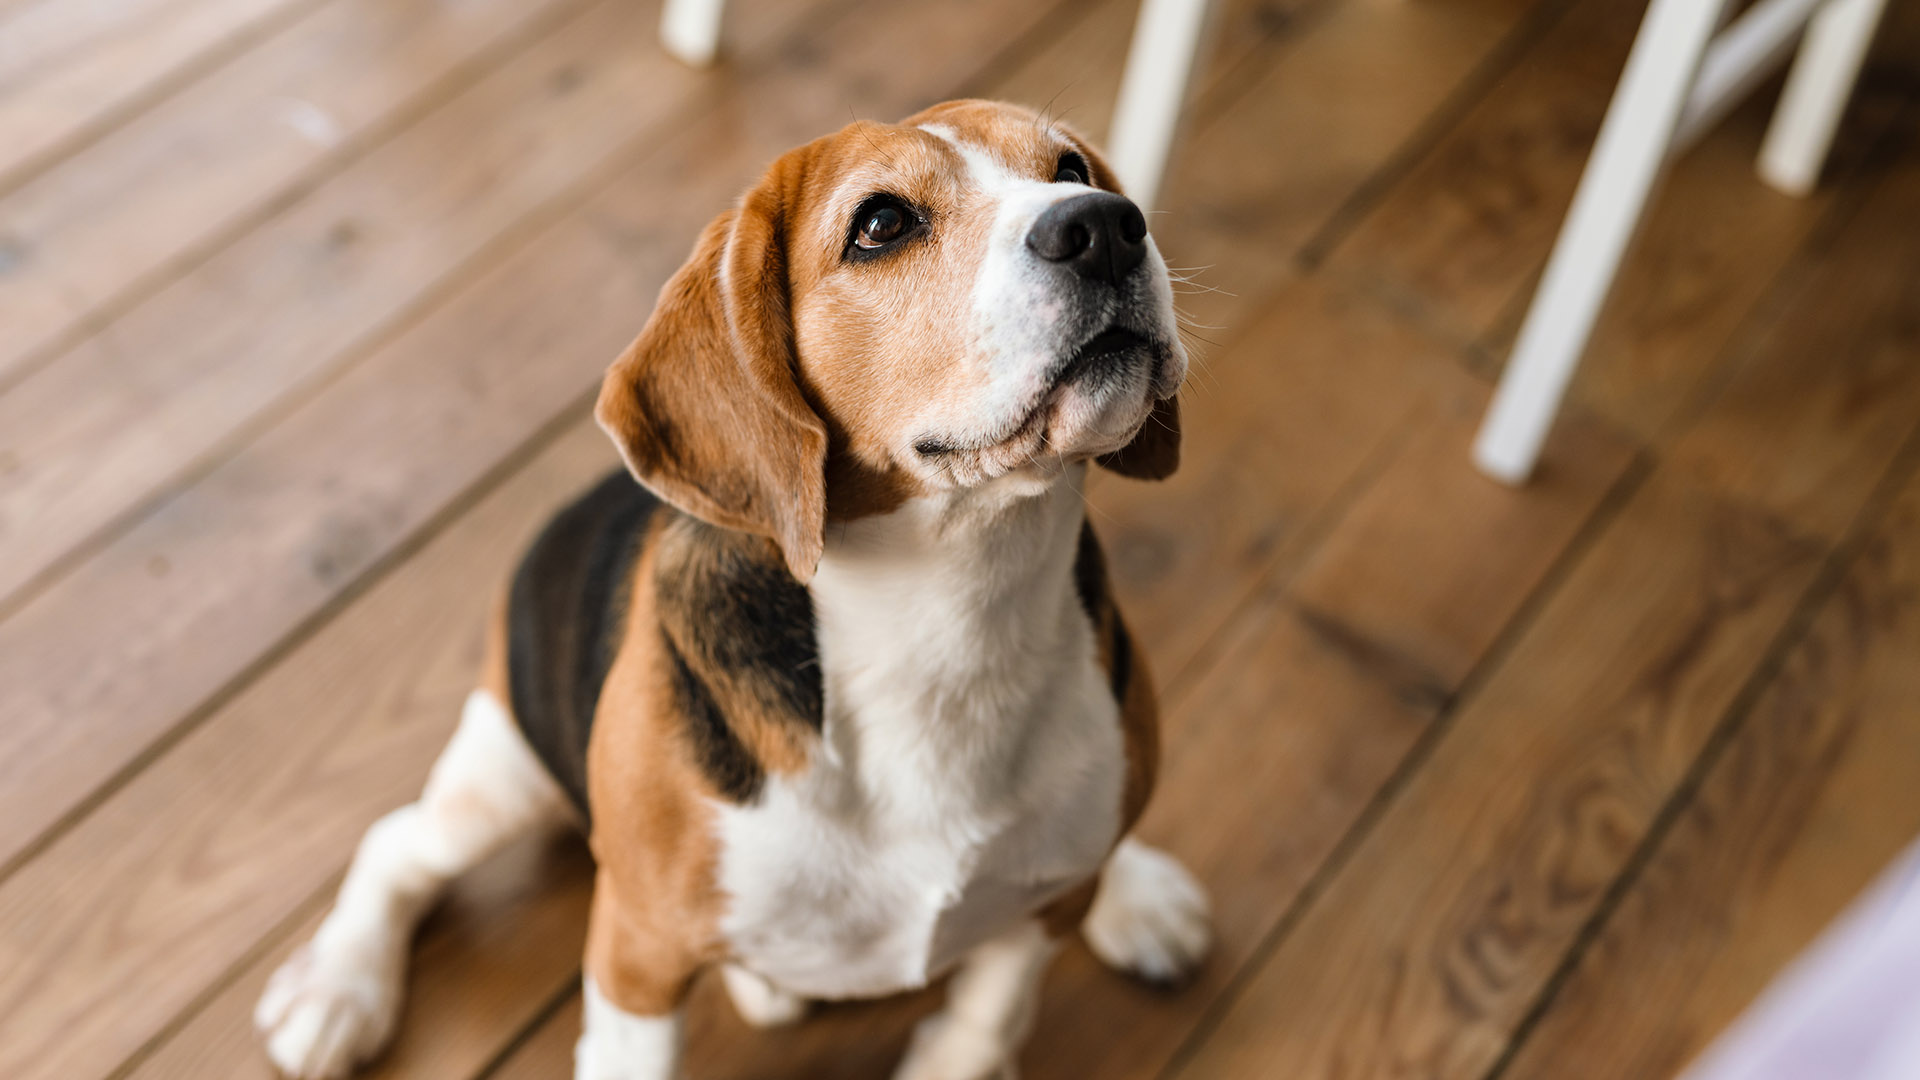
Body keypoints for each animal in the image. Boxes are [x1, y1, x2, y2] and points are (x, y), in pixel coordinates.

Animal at [255, 96, 1213, 1068]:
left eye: (1071, 171)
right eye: (881, 224)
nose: (1106, 227)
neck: (954, 619)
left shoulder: (1046, 910)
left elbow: (988, 1018)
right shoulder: (636, 960)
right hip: (501, 778)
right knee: (396, 845)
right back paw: (338, 991)